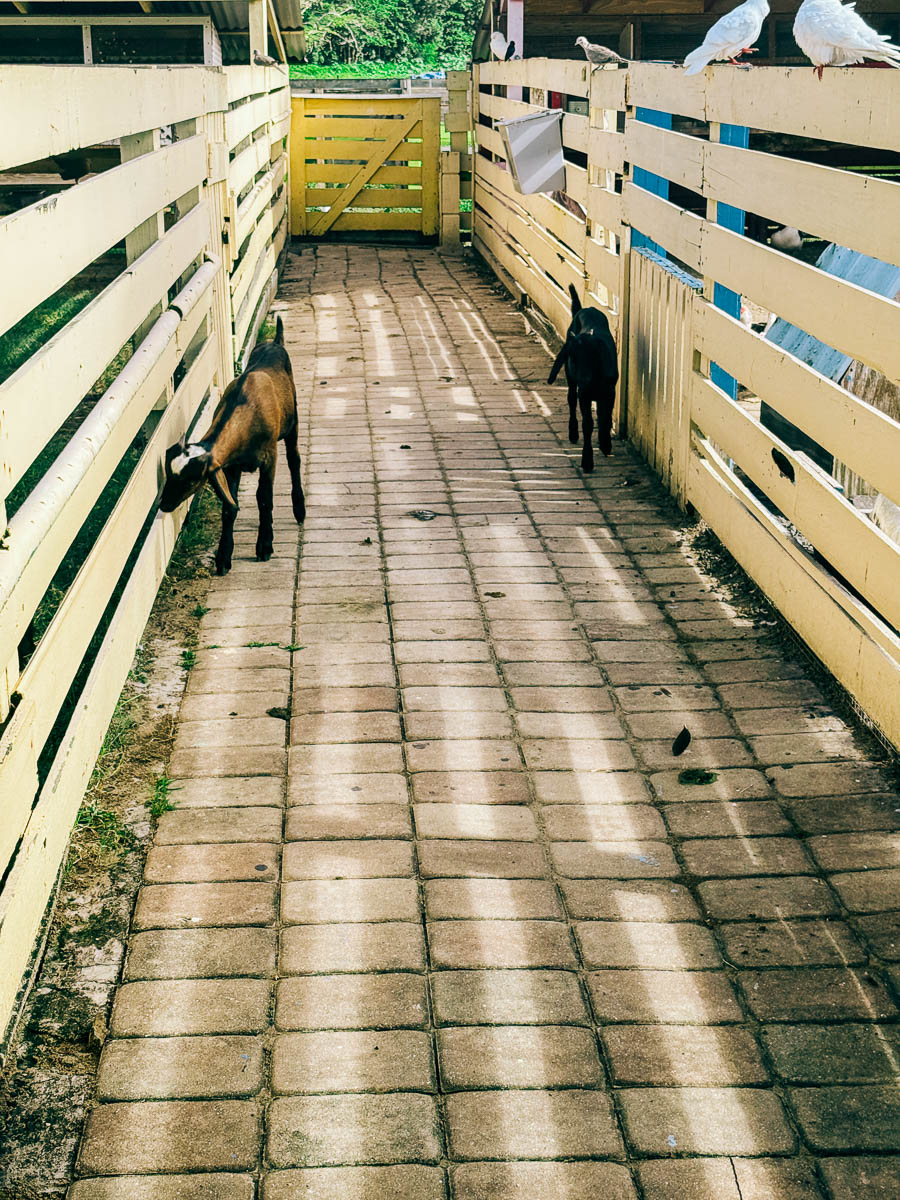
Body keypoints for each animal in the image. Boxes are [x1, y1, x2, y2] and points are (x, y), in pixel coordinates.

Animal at [159, 314, 307, 576]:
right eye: (169, 474)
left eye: (191, 480)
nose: (164, 505)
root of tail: (275, 342)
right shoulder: (229, 466)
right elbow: (229, 507)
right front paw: (223, 557)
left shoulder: (269, 456)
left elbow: (264, 498)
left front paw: (265, 546)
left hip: (293, 423)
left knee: (295, 460)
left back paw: (299, 509)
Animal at [549, 283, 619, 470]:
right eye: (572, 357)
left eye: (593, 355)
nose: (584, 379)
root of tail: (584, 309)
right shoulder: (584, 394)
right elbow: (588, 424)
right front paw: (587, 461)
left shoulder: (610, 392)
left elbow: (605, 417)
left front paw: (605, 444)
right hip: (572, 382)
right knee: (572, 399)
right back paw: (573, 432)